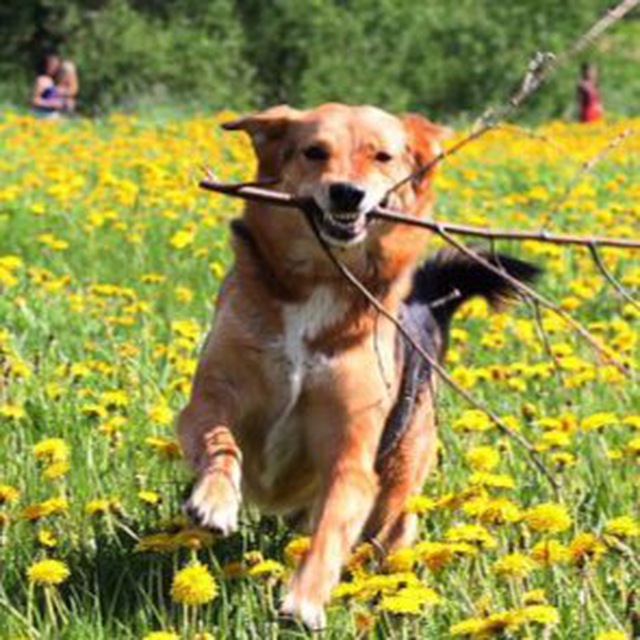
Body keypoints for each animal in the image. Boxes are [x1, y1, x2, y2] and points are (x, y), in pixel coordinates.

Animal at [176, 102, 540, 628]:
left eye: (382, 156)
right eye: (314, 151)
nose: (347, 192)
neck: (323, 280)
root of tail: (424, 305)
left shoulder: (350, 454)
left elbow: (331, 527)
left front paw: (305, 598)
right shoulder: (211, 395)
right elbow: (219, 439)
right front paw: (215, 498)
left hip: (397, 491)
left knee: (387, 531)